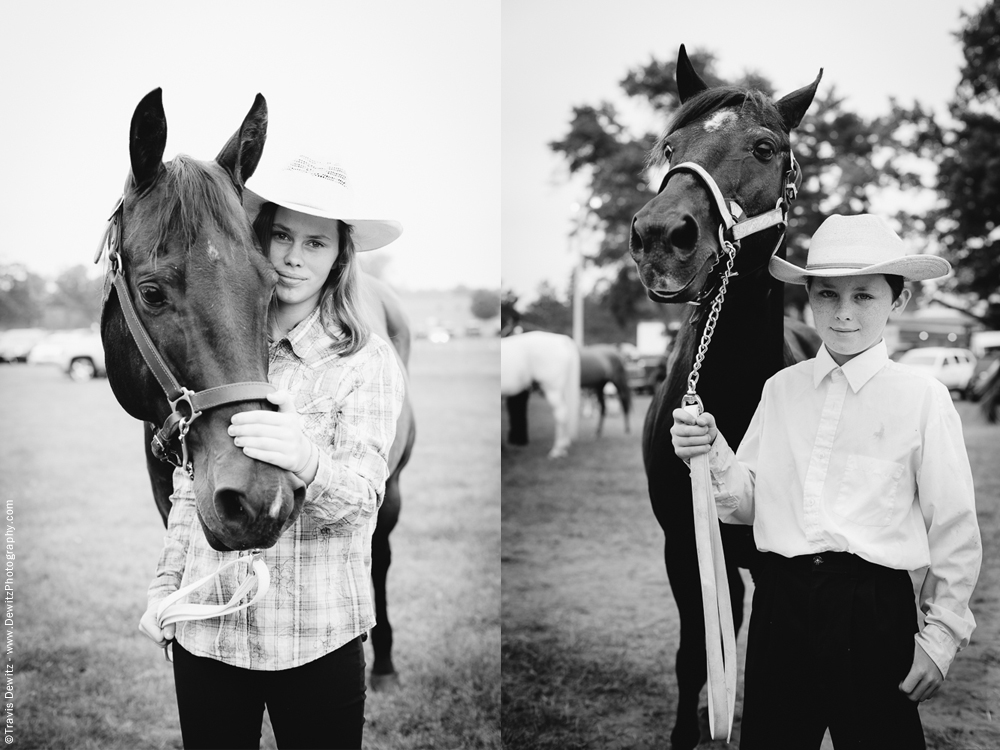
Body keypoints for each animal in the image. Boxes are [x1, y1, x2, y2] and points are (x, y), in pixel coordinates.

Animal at [632, 47, 820, 750]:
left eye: (764, 147)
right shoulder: (683, 548)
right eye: (669, 145)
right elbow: (696, 658)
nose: (662, 234)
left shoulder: (779, 563)